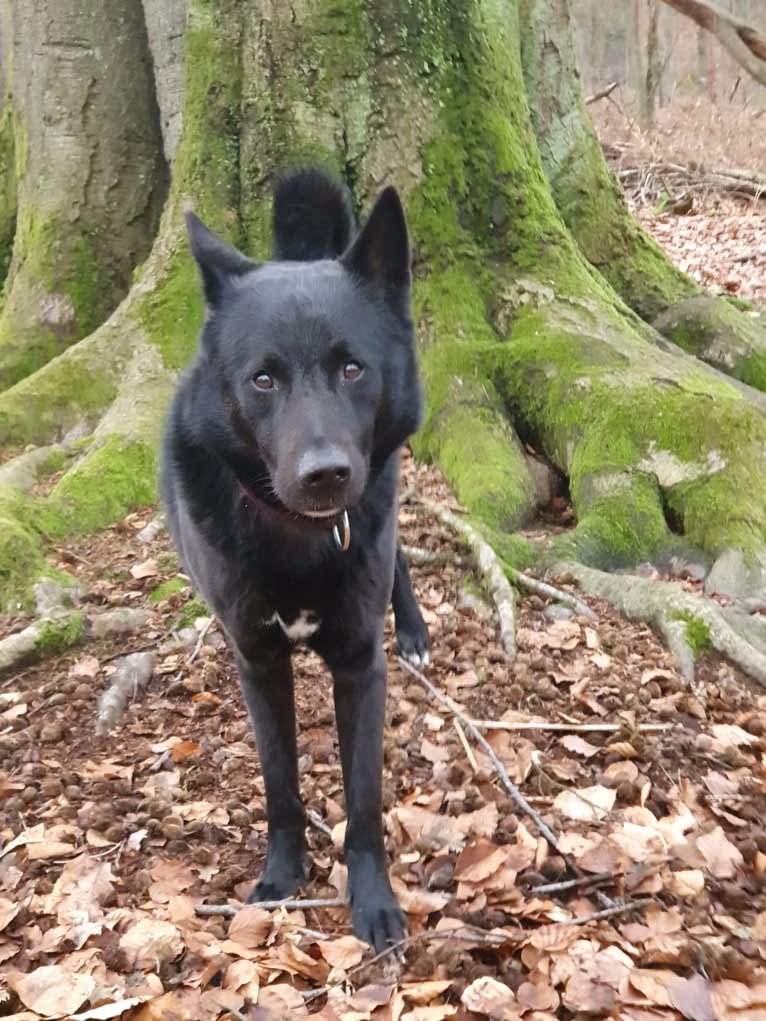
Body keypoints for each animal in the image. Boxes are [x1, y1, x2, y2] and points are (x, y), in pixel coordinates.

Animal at [162, 165, 433, 947]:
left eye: (352, 368)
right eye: (263, 378)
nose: (326, 475)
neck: (298, 539)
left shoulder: (359, 664)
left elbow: (364, 800)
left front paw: (372, 900)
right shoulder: (258, 661)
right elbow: (279, 780)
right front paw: (282, 875)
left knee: (399, 557)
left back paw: (414, 630)